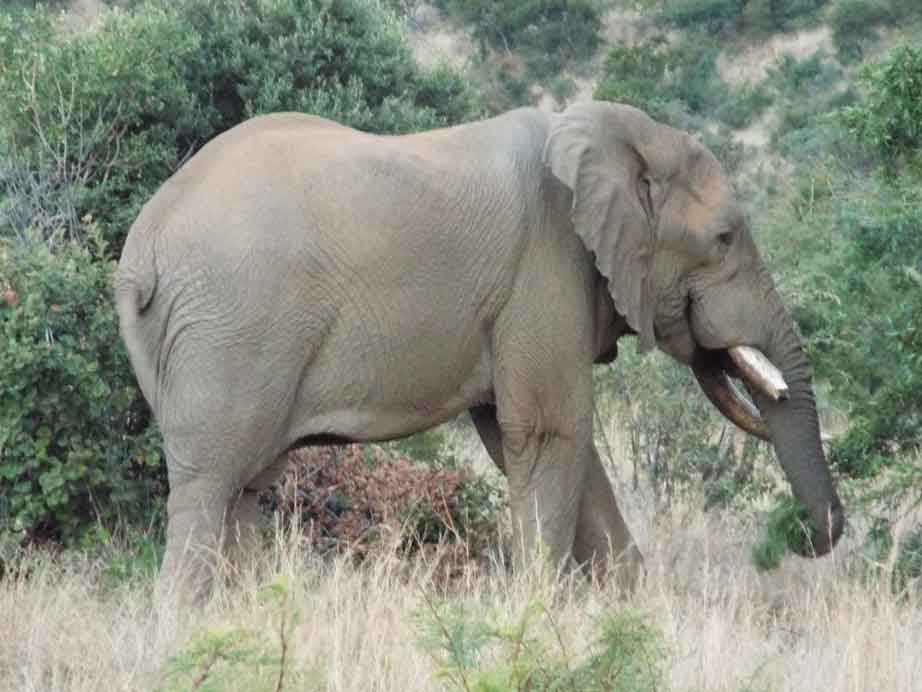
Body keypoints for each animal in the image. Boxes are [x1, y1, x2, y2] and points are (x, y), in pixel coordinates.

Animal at [115, 101, 844, 600]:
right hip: (230, 328)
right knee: (210, 488)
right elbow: (550, 434)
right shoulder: (544, 268)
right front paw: (542, 616)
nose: (807, 537)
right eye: (724, 239)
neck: (602, 132)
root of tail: (140, 253)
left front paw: (634, 609)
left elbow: (541, 444)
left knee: (244, 487)